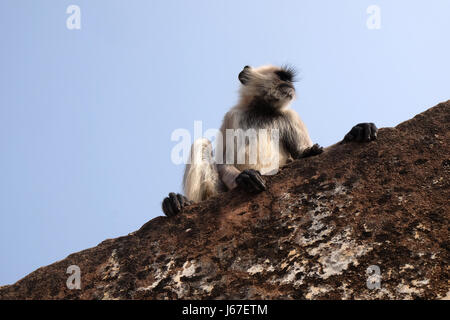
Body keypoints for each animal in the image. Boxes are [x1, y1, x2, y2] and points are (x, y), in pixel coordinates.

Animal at [162, 63, 376, 216]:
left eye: (289, 79)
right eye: (282, 77)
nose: (291, 86)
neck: (262, 110)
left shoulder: (290, 116)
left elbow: (304, 152)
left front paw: (356, 131)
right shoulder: (232, 116)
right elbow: (224, 160)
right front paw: (244, 177)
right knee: (202, 143)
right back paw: (180, 202)